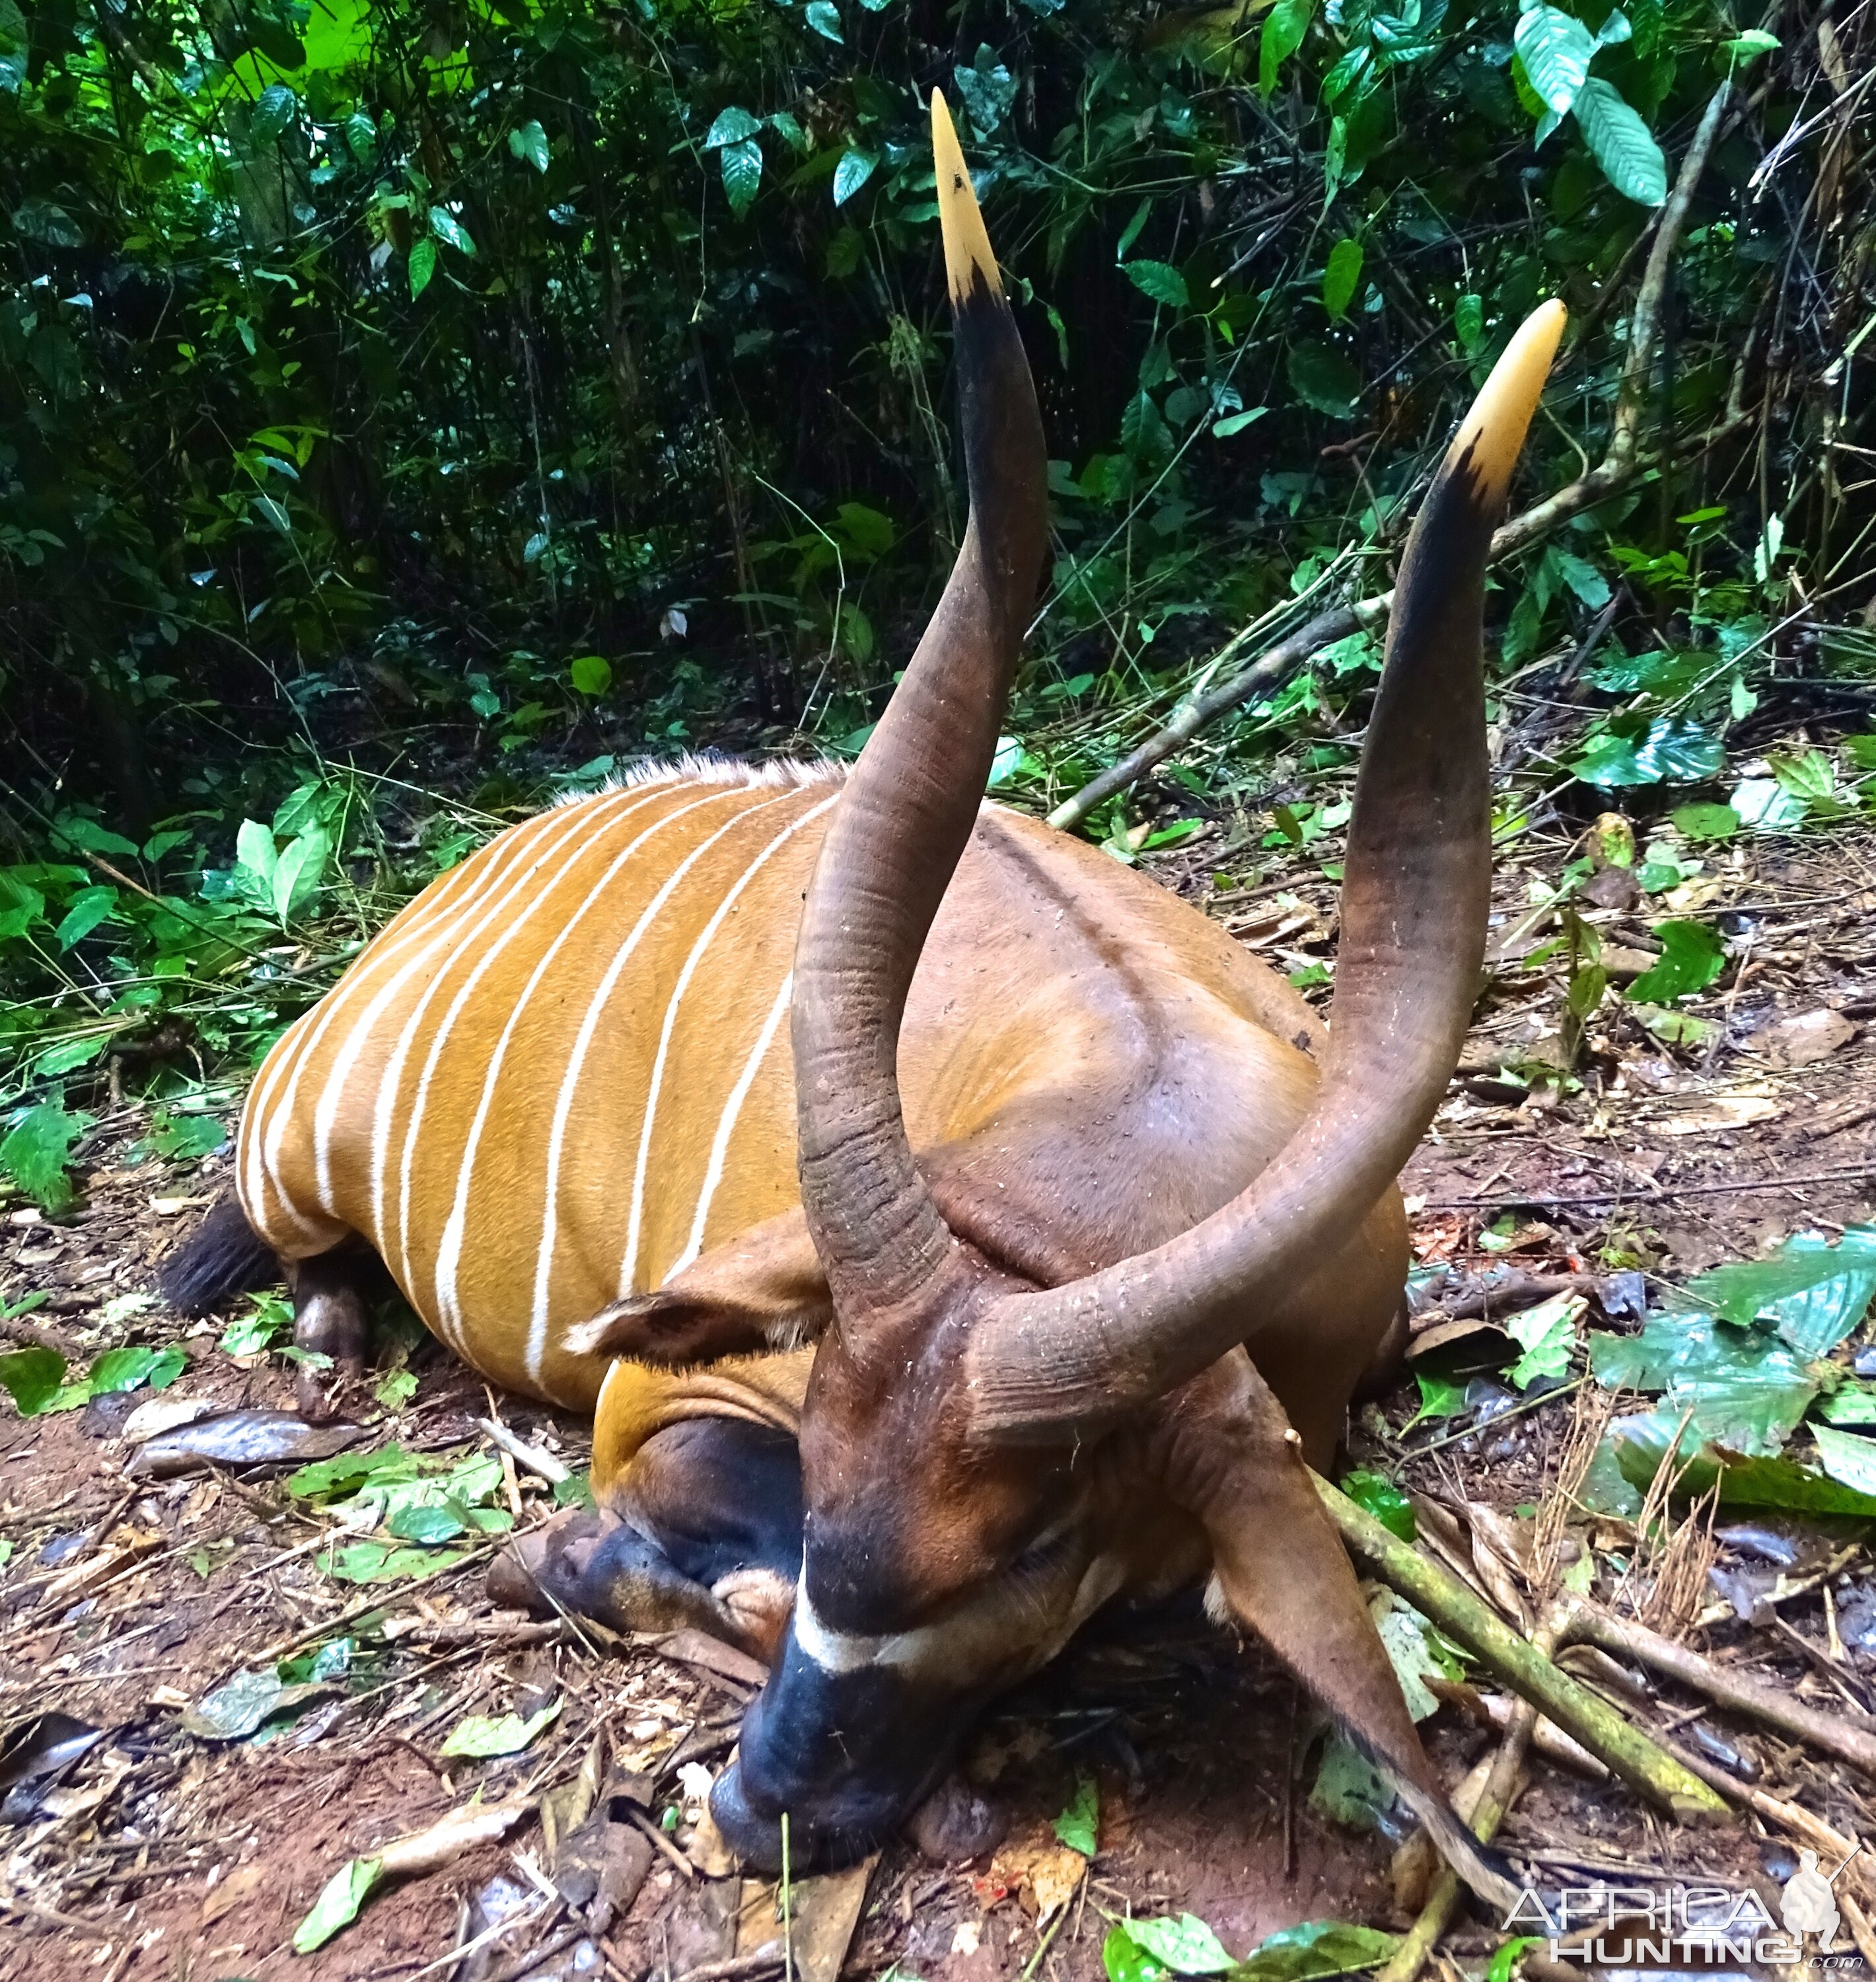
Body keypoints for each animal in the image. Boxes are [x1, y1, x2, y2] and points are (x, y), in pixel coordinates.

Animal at [165, 96, 1569, 1903]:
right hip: (301, 1166)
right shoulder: (664, 1392)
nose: (758, 1812)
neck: (1101, 1155)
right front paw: (593, 1569)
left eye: (1040, 1542)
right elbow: (661, 1538)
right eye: (830, 1463)